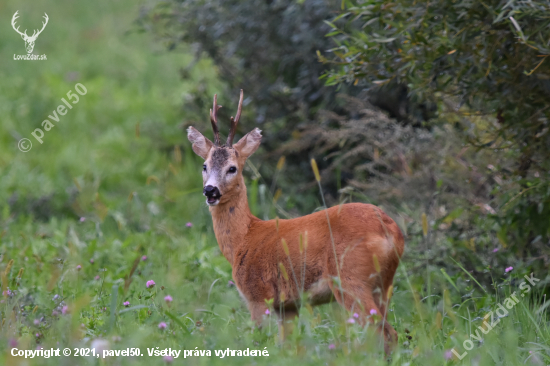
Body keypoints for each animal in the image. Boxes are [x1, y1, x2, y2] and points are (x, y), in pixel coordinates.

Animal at [188, 88, 408, 352]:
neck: (245, 237)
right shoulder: (288, 305)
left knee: (380, 332)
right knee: (390, 333)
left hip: (351, 279)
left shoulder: (257, 294)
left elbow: (260, 339)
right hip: (383, 284)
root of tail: (391, 230)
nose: (210, 190)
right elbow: (289, 345)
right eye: (204, 165)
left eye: (232, 168)